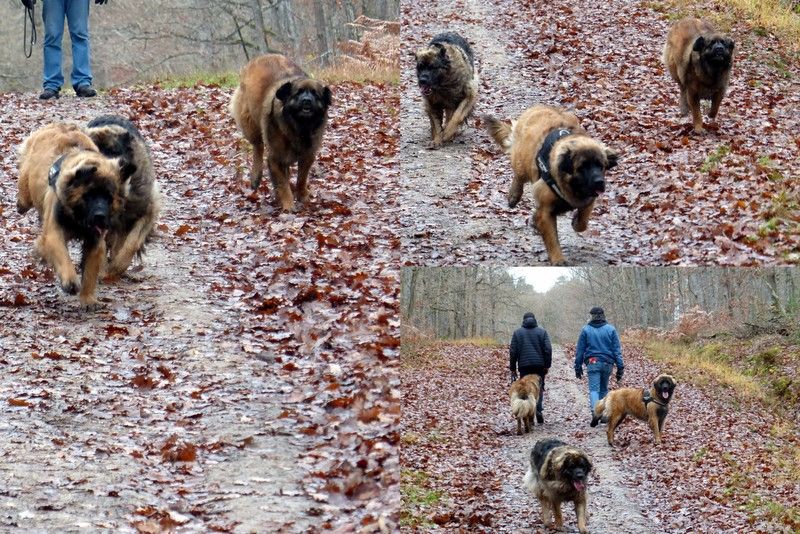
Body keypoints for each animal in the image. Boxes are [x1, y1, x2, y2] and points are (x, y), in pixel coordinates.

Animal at [16, 123, 134, 310]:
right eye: (89, 195)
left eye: (109, 197)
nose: (100, 216)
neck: (77, 218)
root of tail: (60, 124)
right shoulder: (54, 232)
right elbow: (62, 256)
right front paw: (70, 281)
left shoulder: (95, 241)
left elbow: (90, 273)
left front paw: (88, 299)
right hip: (27, 190)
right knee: (25, 198)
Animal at [230, 53, 332, 213]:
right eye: (298, 93)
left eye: (315, 94)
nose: (307, 101)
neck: (299, 127)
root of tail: (261, 57)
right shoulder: (275, 158)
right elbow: (283, 184)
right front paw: (288, 204)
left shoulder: (308, 155)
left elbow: (301, 178)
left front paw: (302, 196)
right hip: (250, 124)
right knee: (258, 146)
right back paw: (256, 176)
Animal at [482, 105, 620, 266]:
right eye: (582, 167)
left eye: (601, 166)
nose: (599, 182)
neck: (570, 186)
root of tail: (537, 106)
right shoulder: (546, 209)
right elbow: (552, 237)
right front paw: (558, 259)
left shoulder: (589, 198)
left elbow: (583, 221)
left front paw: (576, 222)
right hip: (522, 160)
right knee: (519, 176)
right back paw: (514, 196)